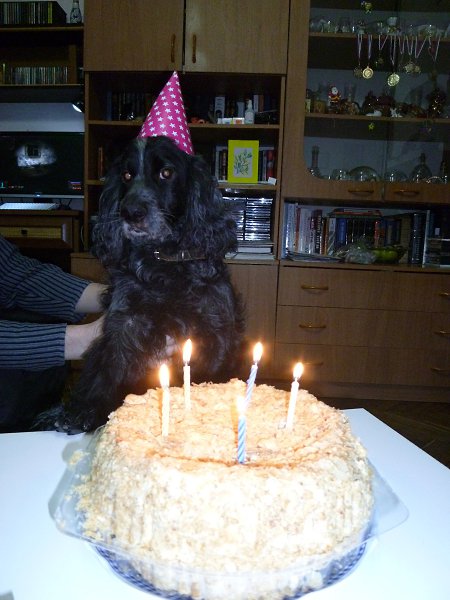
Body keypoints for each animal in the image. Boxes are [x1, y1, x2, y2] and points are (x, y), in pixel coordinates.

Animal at [60, 136, 245, 433]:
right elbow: (107, 368)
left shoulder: (215, 332)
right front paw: (84, 409)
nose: (130, 212)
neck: (165, 264)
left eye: (166, 173)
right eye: (126, 175)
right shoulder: (125, 322)